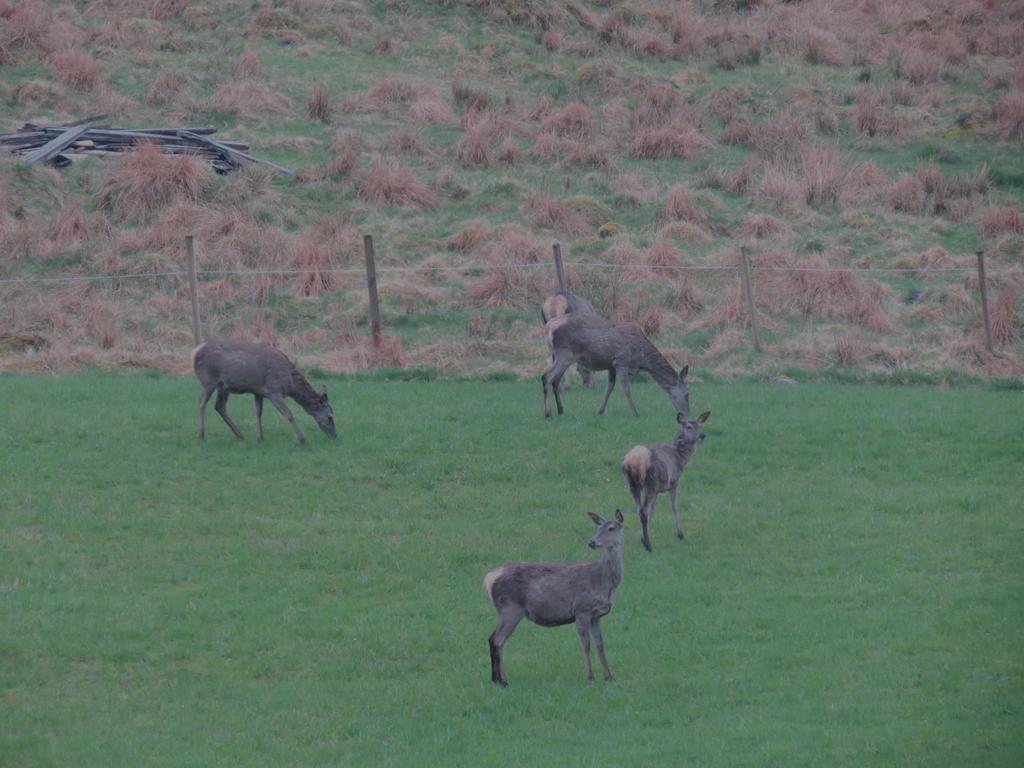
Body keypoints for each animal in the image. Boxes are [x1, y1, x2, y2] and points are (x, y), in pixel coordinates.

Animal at [191, 337, 335, 444]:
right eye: (330, 417)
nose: (334, 435)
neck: (290, 384)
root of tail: (195, 351)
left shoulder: (258, 392)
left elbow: (258, 413)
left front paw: (260, 438)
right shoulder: (273, 390)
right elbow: (288, 414)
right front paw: (302, 439)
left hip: (223, 386)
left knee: (219, 406)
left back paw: (239, 434)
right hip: (209, 380)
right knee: (202, 403)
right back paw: (200, 434)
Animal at [485, 514, 622, 688]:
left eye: (611, 528)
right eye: (598, 528)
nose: (592, 542)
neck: (605, 582)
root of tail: (489, 579)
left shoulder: (596, 616)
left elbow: (600, 644)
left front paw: (609, 676)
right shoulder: (581, 609)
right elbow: (586, 645)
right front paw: (590, 676)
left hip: (506, 611)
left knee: (493, 639)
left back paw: (498, 679)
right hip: (510, 608)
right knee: (498, 640)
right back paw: (502, 681)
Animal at [540, 313, 692, 421]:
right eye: (687, 394)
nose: (687, 413)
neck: (641, 359)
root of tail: (548, 327)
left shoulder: (611, 365)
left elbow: (610, 387)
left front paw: (600, 411)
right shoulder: (621, 361)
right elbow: (626, 388)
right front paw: (636, 413)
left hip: (558, 355)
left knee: (555, 380)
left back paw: (561, 410)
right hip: (565, 353)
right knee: (546, 376)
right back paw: (548, 414)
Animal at [618, 411, 708, 548]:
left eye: (700, 425)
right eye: (688, 427)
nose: (702, 435)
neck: (680, 459)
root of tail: (633, 461)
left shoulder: (657, 491)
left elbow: (653, 511)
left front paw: (642, 536)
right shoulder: (674, 481)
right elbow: (674, 506)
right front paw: (680, 534)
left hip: (633, 483)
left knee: (640, 510)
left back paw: (645, 539)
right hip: (650, 481)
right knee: (643, 511)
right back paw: (648, 544)